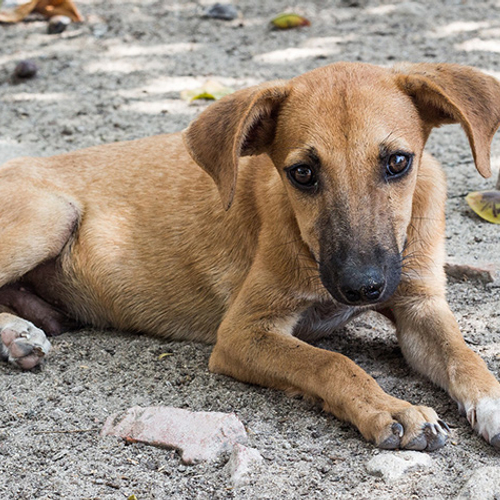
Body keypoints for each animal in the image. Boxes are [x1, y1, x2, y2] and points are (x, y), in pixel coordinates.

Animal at [0, 61, 500, 450]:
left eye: (398, 161)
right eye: (302, 173)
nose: (362, 287)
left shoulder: (419, 304)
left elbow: (464, 355)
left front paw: (492, 402)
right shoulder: (243, 333)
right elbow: (332, 363)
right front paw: (391, 409)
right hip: (49, 216)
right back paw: (16, 334)